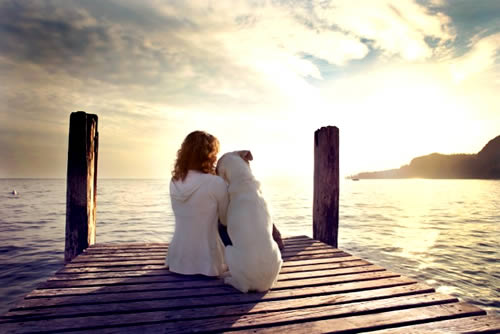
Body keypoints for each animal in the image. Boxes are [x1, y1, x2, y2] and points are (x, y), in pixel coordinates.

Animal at [217, 150, 284, 290]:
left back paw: (229, 279)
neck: (243, 178)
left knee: (242, 287)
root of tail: (261, 285)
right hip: (277, 252)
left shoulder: (225, 218)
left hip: (229, 250)